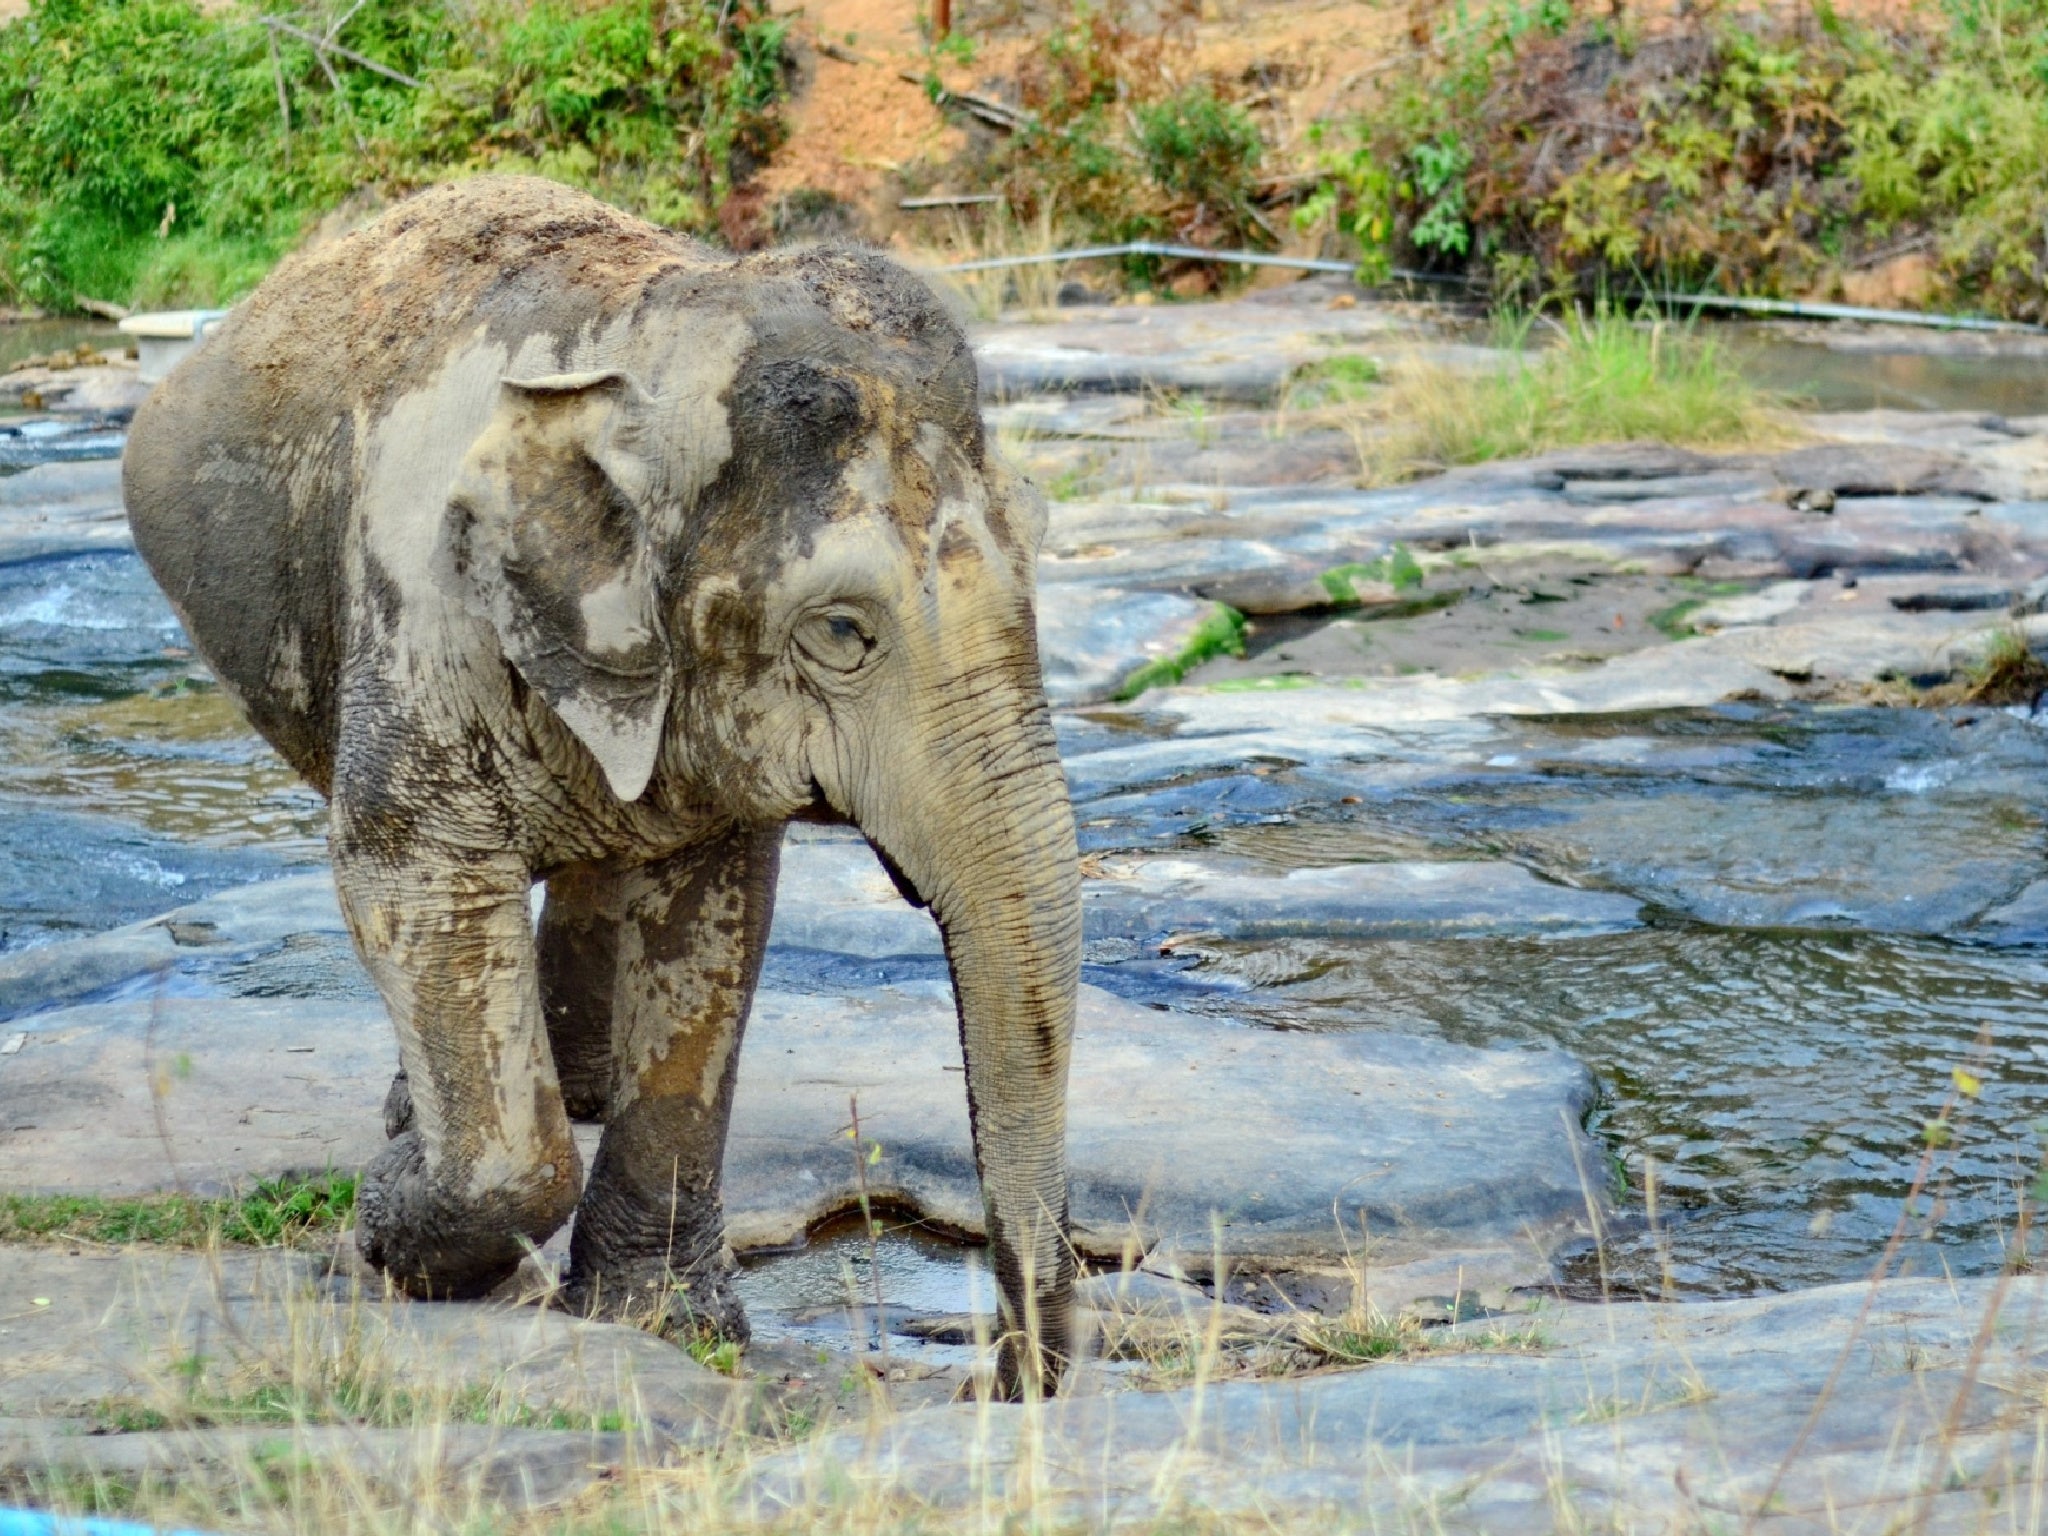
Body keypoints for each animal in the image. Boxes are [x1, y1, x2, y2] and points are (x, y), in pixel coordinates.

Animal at [123, 177, 1089, 1392]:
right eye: (841, 632)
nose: (1000, 1383)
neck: (658, 332)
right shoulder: (421, 611)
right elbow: (407, 873)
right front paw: (392, 1217)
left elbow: (707, 927)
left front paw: (663, 1326)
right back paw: (424, 1117)